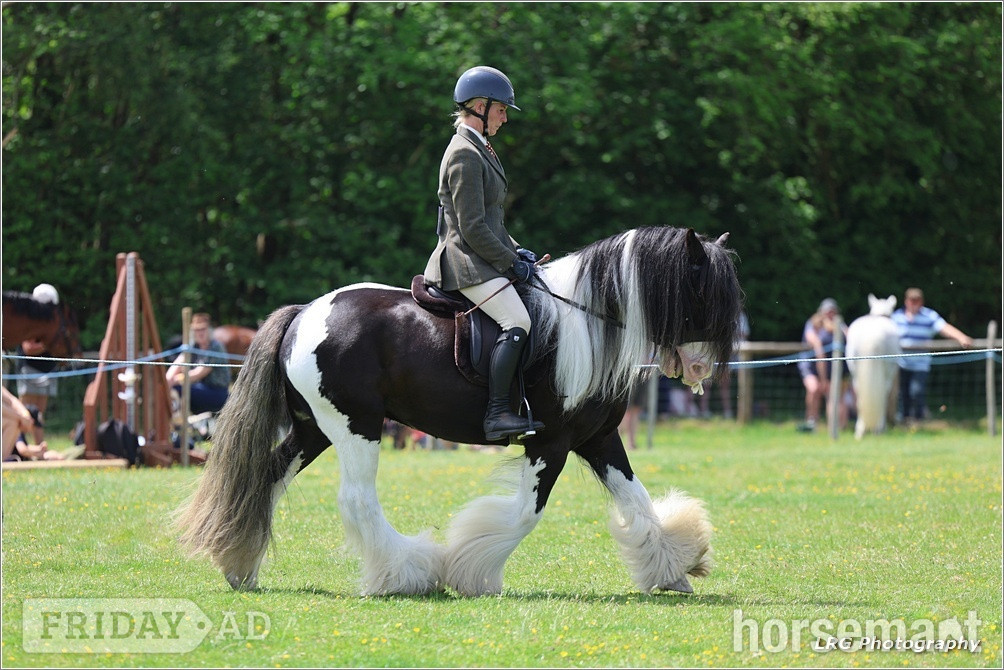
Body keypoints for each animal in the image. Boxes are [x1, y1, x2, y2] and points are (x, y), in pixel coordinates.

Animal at [176, 227, 742, 596]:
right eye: (701, 294)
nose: (699, 369)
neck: (584, 326)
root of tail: (304, 313)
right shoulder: (550, 443)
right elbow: (524, 514)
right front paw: (471, 574)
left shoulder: (598, 438)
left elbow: (638, 500)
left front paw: (673, 569)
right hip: (356, 427)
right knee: (357, 499)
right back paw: (406, 575)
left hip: (314, 429)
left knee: (267, 479)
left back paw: (240, 568)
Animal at [846, 294, 901, 439]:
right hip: (887, 372)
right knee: (883, 397)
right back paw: (879, 428)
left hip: (855, 373)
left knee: (859, 397)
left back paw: (860, 430)